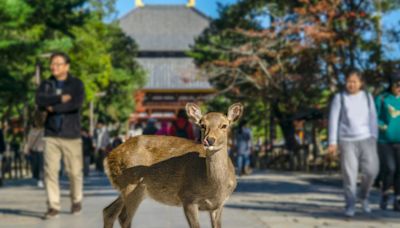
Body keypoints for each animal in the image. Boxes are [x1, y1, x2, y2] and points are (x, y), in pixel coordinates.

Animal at [101, 103, 242, 228]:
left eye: (224, 125)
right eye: (202, 125)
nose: (209, 140)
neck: (213, 188)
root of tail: (109, 157)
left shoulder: (219, 204)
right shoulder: (187, 197)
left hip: (129, 189)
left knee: (109, 211)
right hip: (132, 186)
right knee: (124, 217)